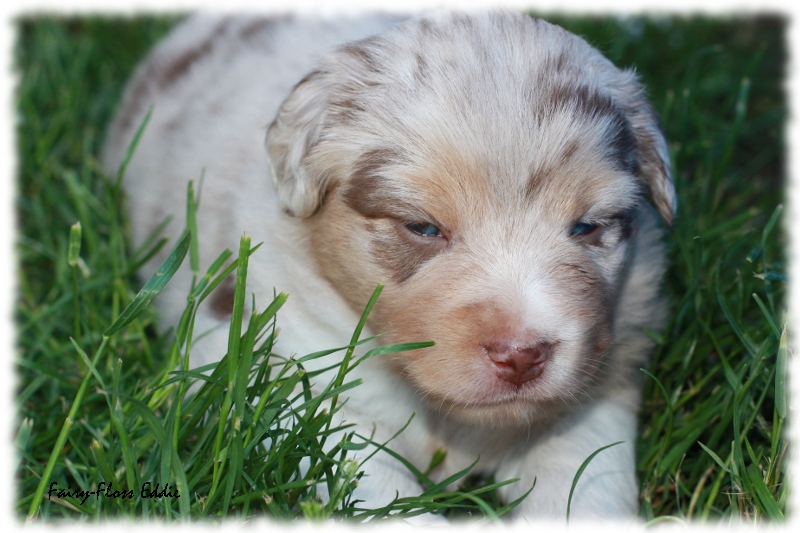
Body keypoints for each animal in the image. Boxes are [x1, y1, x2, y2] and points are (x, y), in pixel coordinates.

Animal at [101, 10, 676, 520]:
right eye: (422, 227)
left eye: (587, 226)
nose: (522, 356)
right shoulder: (286, 372)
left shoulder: (603, 379)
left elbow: (585, 476)